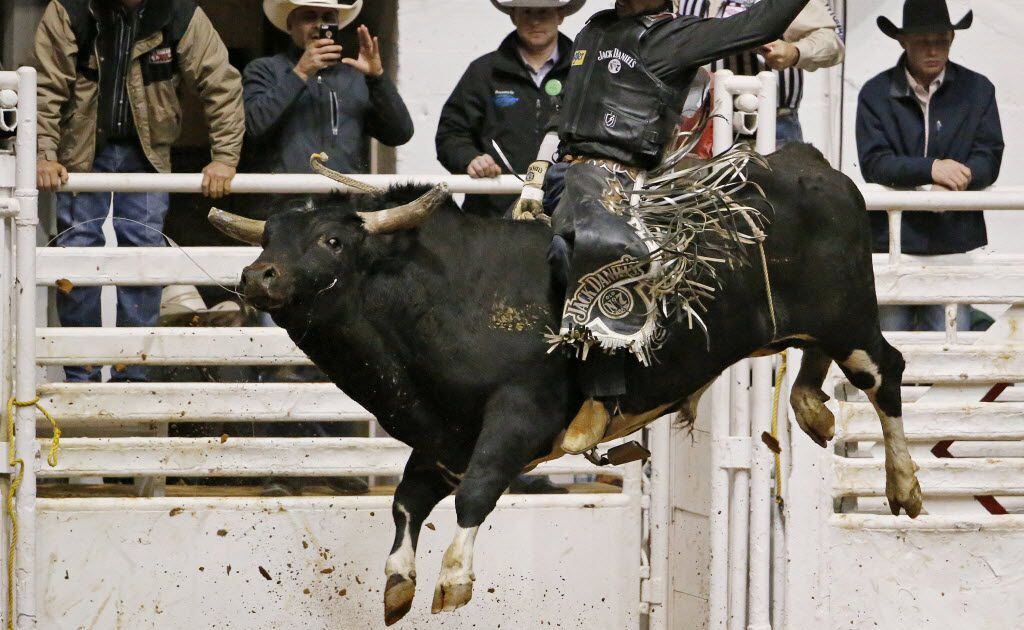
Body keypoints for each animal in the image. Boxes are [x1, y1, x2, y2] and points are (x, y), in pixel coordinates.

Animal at [205, 144, 921, 626]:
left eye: (330, 240)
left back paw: (904, 485)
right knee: (814, 361)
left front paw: (455, 580)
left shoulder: (517, 417)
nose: (257, 276)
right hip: (810, 325)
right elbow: (407, 504)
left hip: (850, 317)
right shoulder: (442, 441)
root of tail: (812, 164)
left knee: (884, 373)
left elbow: (477, 494)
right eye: (269, 238)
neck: (443, 296)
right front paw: (398, 584)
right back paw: (814, 409)